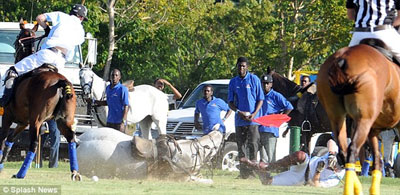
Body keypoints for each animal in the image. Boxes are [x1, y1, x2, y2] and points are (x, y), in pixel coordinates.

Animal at [316, 38, 400, 194]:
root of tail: (341, 60)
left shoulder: (374, 131)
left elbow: (378, 161)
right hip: (364, 120)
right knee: (353, 150)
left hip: (337, 117)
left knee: (344, 153)